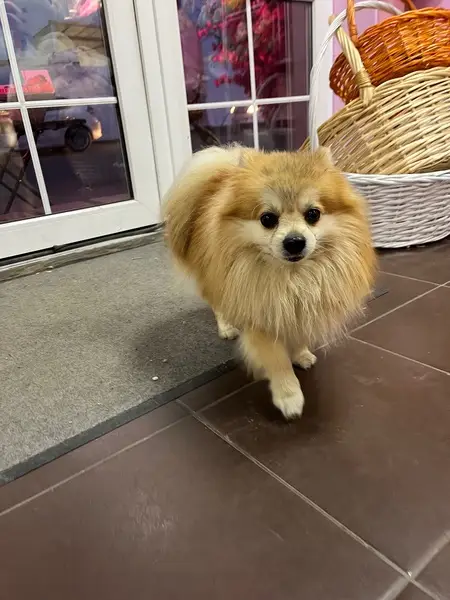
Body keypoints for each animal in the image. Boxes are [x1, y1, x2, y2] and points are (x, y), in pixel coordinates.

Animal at [164, 145, 376, 419]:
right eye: (267, 219)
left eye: (313, 214)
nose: (294, 241)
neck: (293, 277)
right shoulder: (259, 318)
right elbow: (277, 361)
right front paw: (289, 396)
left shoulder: (301, 309)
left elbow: (298, 335)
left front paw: (301, 354)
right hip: (215, 278)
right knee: (217, 304)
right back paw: (226, 327)